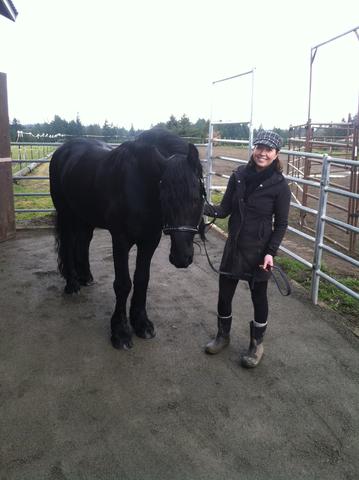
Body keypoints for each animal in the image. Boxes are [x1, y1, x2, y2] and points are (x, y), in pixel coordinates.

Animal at [49, 127, 205, 348]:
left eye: (197, 198)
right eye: (164, 197)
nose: (181, 258)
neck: (139, 184)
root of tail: (63, 150)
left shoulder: (150, 241)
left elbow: (142, 279)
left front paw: (141, 323)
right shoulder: (120, 240)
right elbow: (123, 284)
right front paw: (120, 331)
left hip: (85, 215)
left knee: (83, 242)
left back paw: (86, 277)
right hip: (65, 213)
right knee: (69, 244)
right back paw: (72, 284)